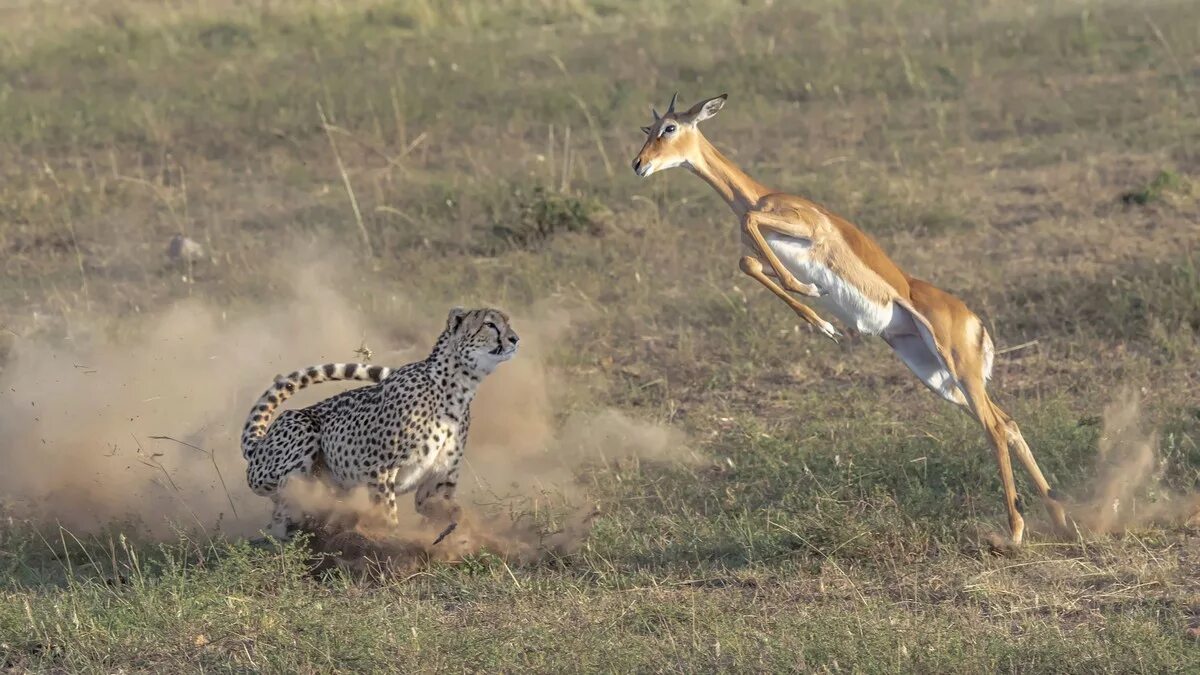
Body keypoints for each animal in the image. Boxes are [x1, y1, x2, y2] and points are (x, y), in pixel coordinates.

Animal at [241, 307, 518, 538]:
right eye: (490, 324)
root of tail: (259, 442)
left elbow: (444, 508)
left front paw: (454, 531)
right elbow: (388, 514)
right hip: (299, 427)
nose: (515, 339)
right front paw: (389, 542)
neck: (458, 387)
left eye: (507, 321)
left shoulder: (438, 481)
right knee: (285, 502)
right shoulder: (379, 469)